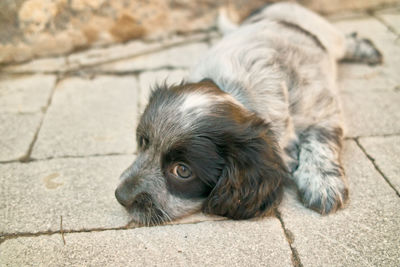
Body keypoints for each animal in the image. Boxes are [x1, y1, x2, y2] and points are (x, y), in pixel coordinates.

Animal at [113, 2, 382, 226]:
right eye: (144, 142)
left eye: (182, 171)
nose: (120, 196)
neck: (238, 91)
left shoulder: (322, 109)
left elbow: (321, 141)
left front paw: (323, 184)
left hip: (324, 31)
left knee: (344, 41)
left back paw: (366, 50)